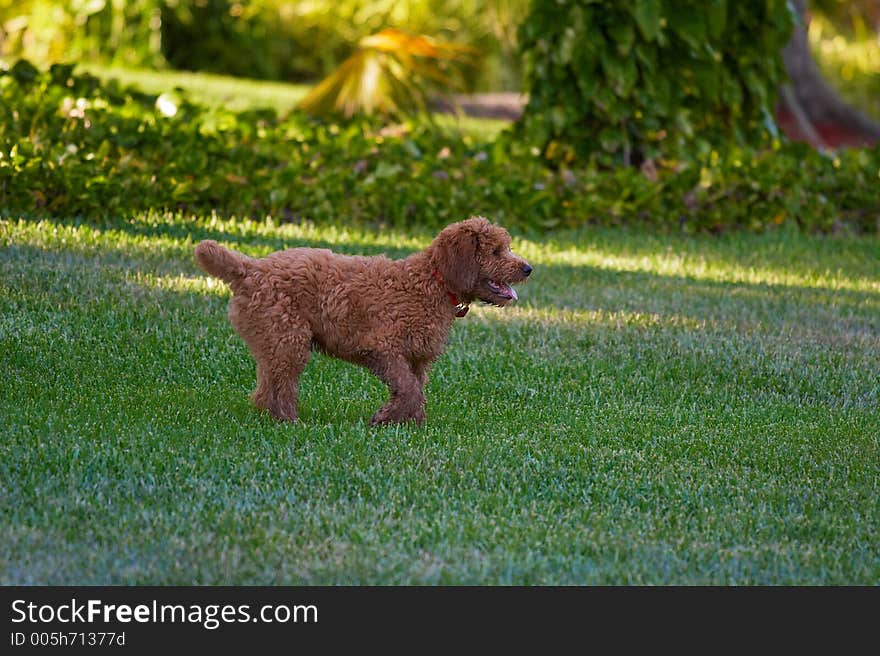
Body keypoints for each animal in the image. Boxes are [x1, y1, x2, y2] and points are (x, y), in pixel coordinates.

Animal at [195, 218, 532, 428]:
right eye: (496, 251)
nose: (528, 268)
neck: (432, 282)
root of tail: (249, 269)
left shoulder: (417, 358)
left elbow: (416, 390)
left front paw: (411, 424)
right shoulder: (383, 348)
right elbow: (409, 388)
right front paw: (385, 419)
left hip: (274, 340)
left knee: (265, 387)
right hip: (288, 338)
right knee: (279, 387)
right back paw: (291, 422)